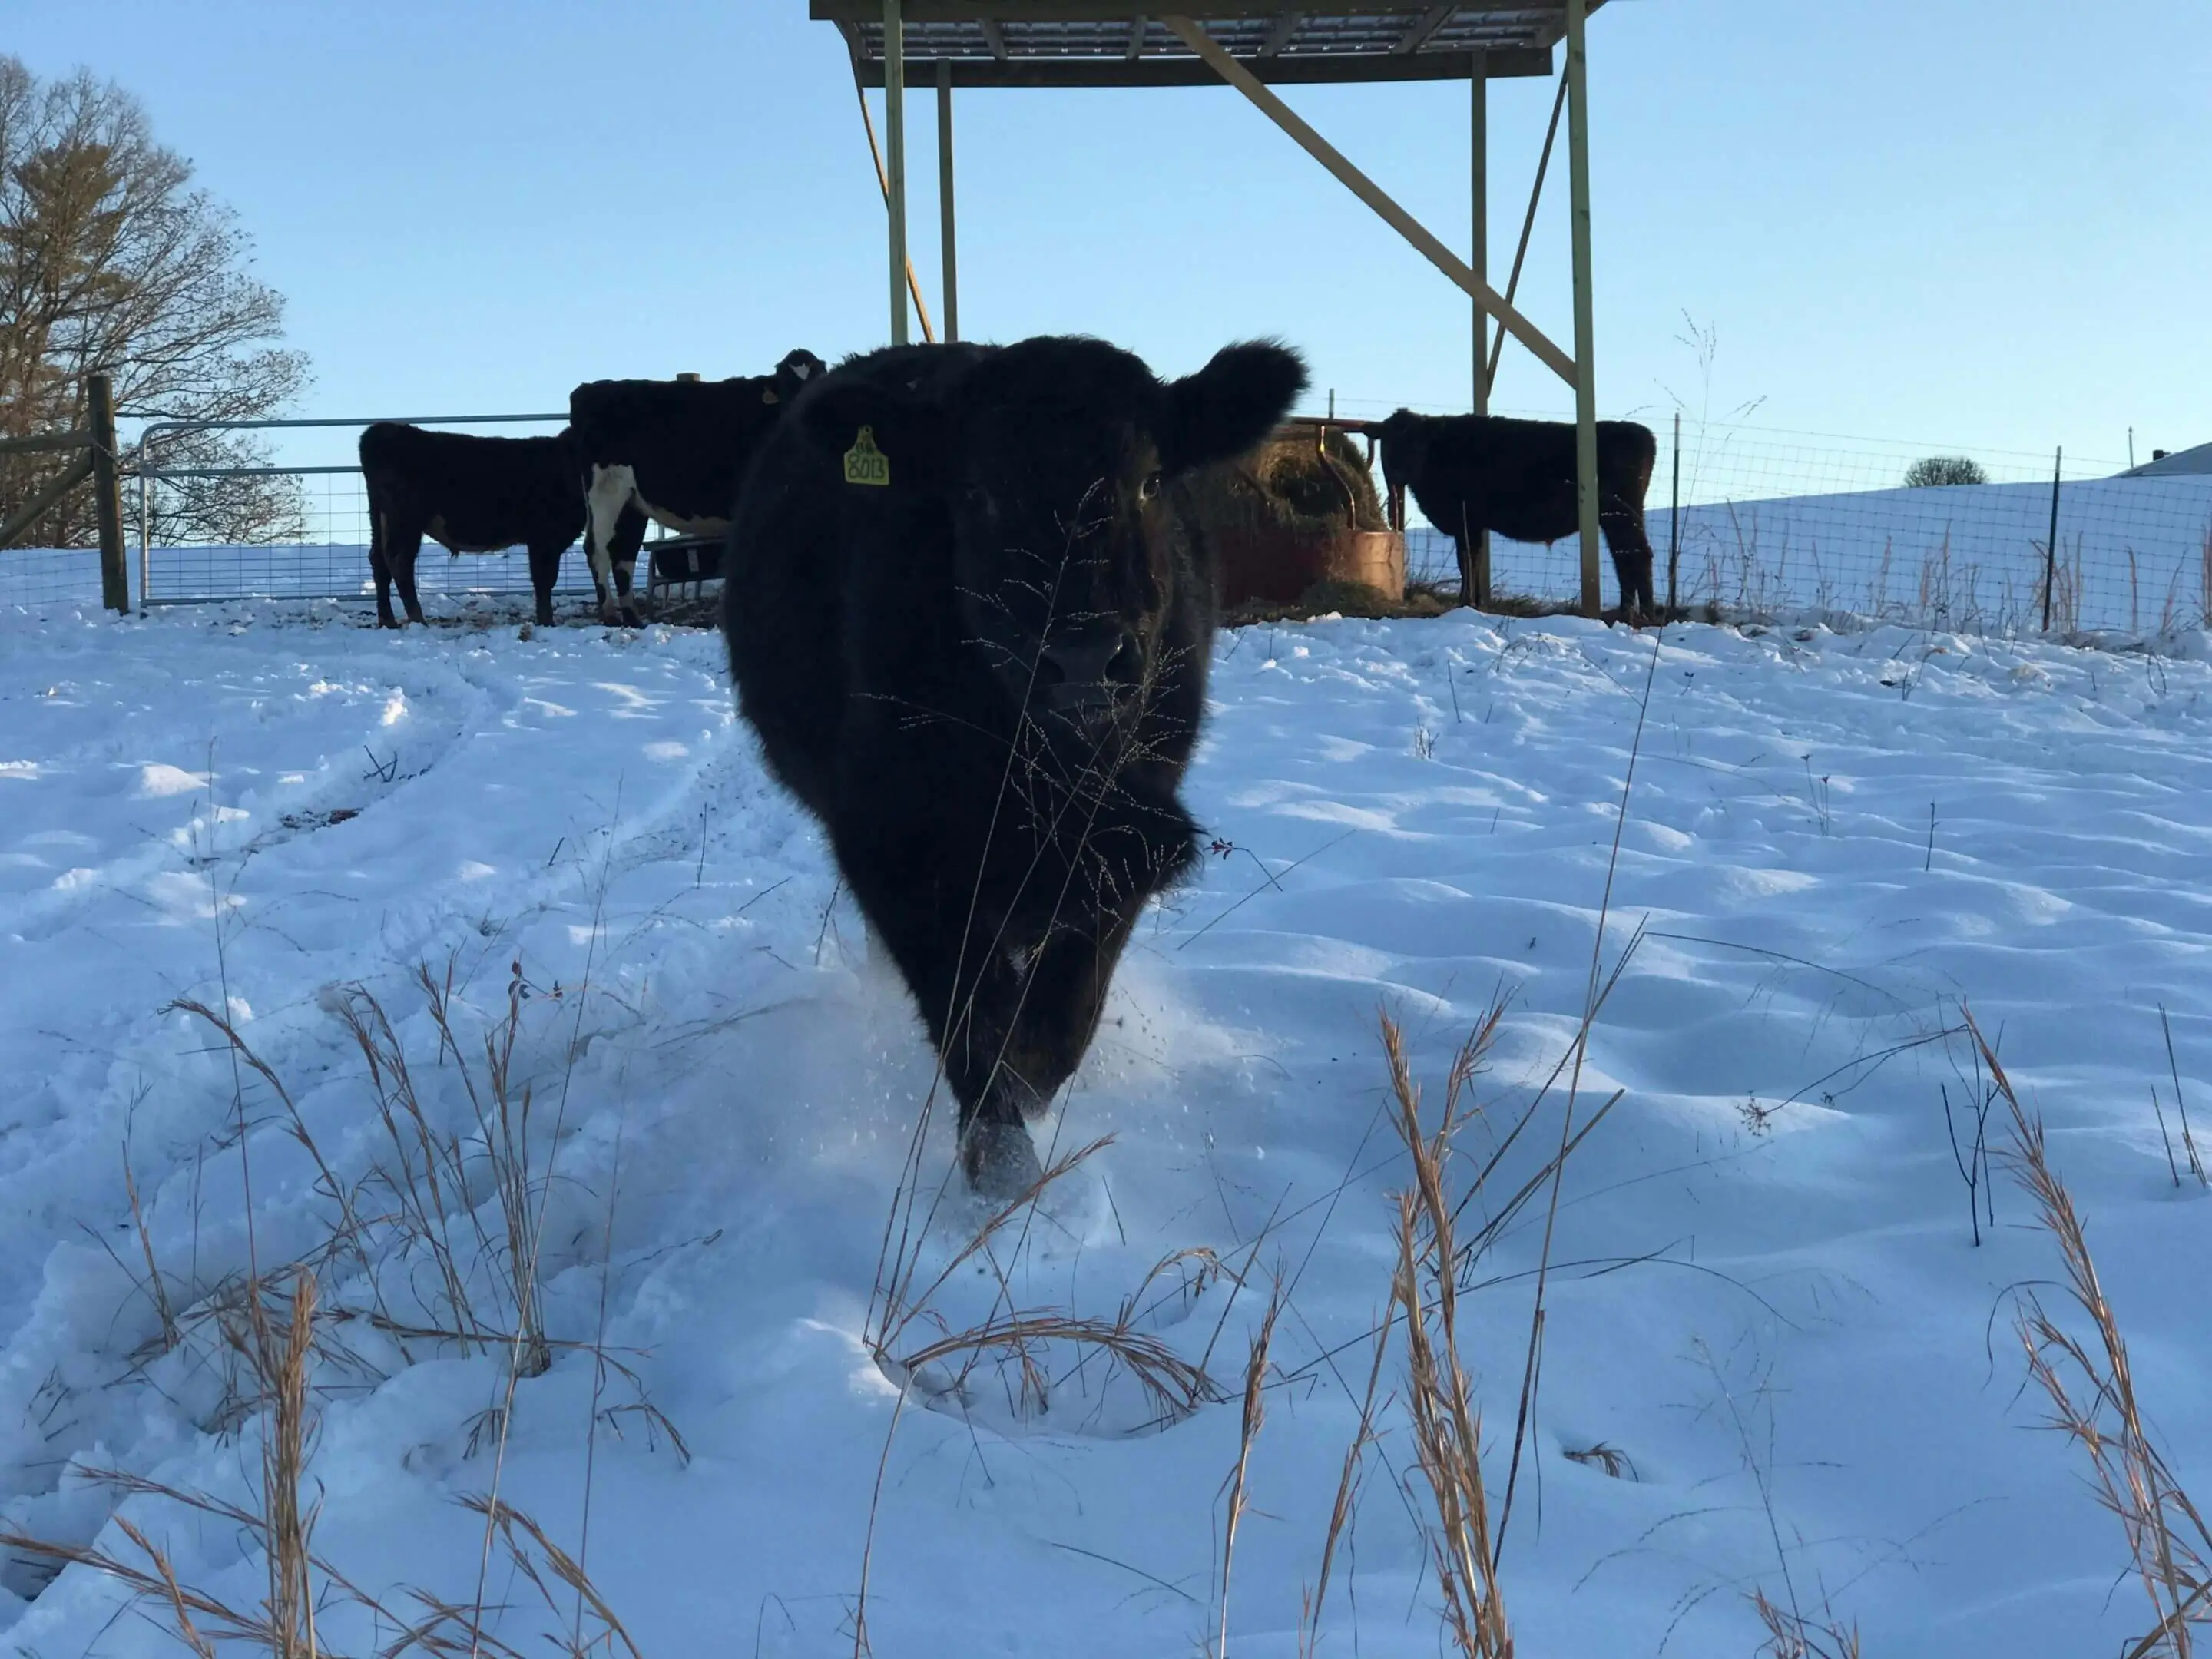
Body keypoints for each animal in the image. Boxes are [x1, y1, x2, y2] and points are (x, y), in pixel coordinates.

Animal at [357, 424, 640, 629]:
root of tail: (383, 431)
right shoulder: (545, 538)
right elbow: (545, 580)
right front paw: (547, 622)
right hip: (406, 520)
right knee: (399, 561)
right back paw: (418, 620)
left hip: (379, 519)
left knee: (378, 561)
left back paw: (388, 620)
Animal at [569, 349, 827, 625]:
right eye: (787, 388)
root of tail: (588, 389)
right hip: (604, 491)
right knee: (597, 549)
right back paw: (610, 615)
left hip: (631, 501)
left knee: (623, 553)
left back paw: (633, 618)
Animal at [723, 335, 1307, 1196]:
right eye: (976, 490)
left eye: (1150, 479)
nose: (1084, 656)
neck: (1042, 772)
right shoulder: (892, 846)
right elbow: (972, 1020)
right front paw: (998, 1164)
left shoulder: (1128, 837)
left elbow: (1065, 1015)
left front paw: (1030, 1083)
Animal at [1374, 409, 1660, 616]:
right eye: (1387, 443)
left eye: (1417, 443)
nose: (1397, 472)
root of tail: (1642, 433)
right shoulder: (1473, 524)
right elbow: (1474, 561)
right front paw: (1476, 601)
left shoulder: (1467, 522)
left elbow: (1467, 561)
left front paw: (1467, 602)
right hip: (1616, 519)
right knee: (1625, 557)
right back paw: (1626, 612)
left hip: (1622, 515)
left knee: (1637, 555)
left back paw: (1644, 613)